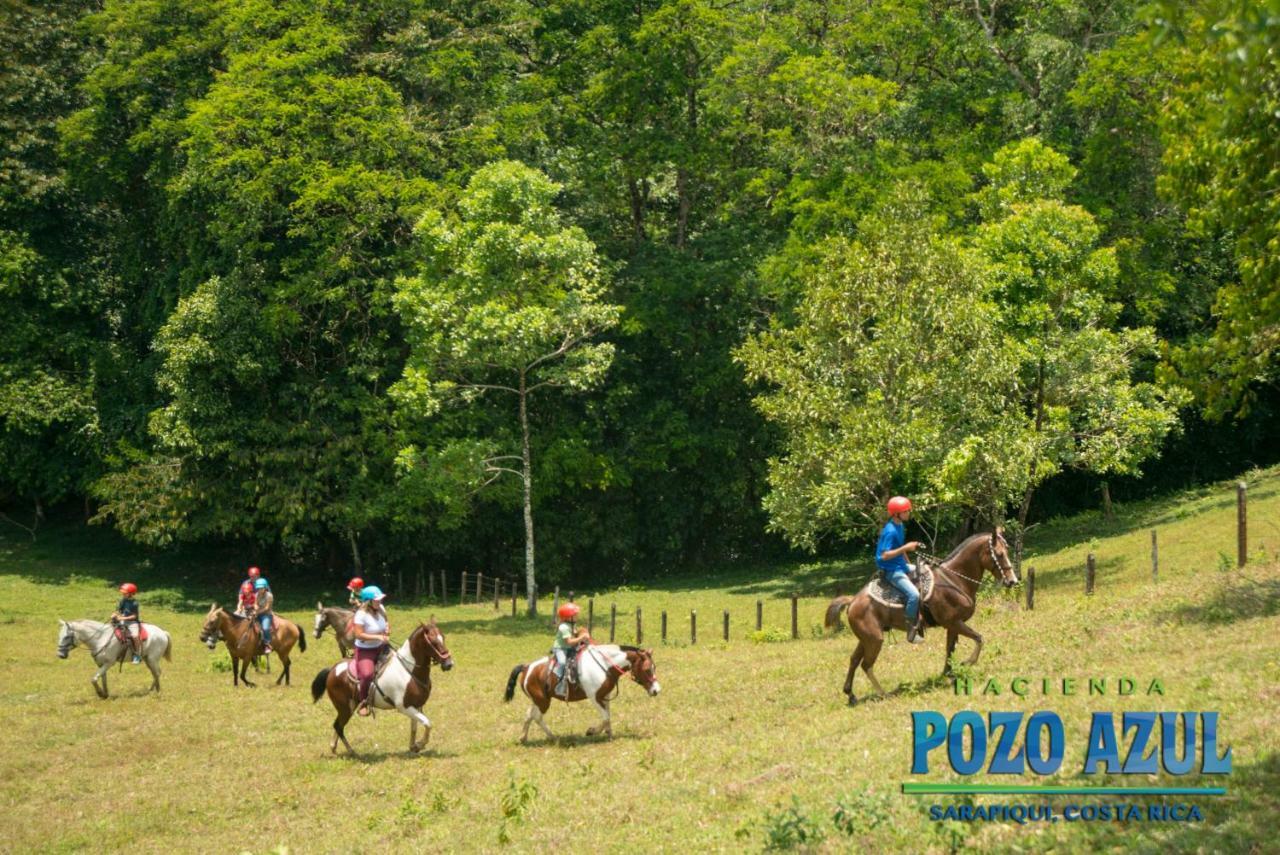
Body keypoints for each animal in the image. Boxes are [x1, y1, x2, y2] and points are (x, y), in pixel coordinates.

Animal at [307, 622, 453, 752]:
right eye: (433, 642)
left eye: (443, 637)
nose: (449, 664)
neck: (409, 671)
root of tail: (332, 670)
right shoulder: (404, 707)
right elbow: (428, 723)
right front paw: (420, 744)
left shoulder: (417, 705)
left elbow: (415, 726)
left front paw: (413, 746)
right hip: (345, 708)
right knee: (338, 726)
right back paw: (351, 751)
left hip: (350, 706)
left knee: (338, 725)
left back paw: (334, 747)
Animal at [499, 639, 660, 742]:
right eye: (647, 669)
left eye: (654, 667)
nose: (656, 690)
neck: (604, 665)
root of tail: (527, 667)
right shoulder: (594, 697)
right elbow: (605, 717)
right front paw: (592, 731)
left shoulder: (605, 696)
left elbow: (607, 716)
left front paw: (609, 734)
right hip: (543, 701)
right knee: (537, 717)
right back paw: (552, 737)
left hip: (538, 700)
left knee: (529, 716)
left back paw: (524, 738)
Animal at [829, 529, 1018, 706]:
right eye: (999, 554)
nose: (1012, 581)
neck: (953, 579)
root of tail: (852, 601)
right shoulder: (954, 622)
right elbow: (979, 638)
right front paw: (968, 662)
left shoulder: (952, 625)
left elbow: (950, 649)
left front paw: (948, 673)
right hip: (874, 640)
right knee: (866, 664)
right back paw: (883, 694)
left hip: (866, 639)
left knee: (854, 660)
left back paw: (851, 695)